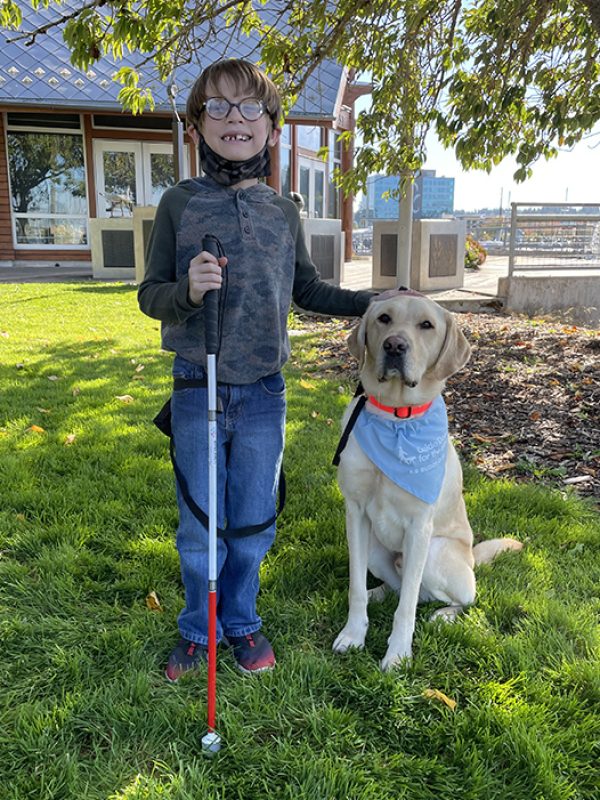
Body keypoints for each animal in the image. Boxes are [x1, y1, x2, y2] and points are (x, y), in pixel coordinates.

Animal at [332, 290, 520, 672]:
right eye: (384, 318)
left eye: (426, 325)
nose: (394, 346)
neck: (395, 418)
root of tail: (472, 558)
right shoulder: (355, 513)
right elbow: (356, 588)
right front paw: (353, 634)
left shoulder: (420, 525)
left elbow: (406, 609)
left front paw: (398, 654)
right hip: (375, 548)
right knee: (406, 589)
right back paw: (378, 593)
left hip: (435, 551)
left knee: (447, 597)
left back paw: (445, 614)